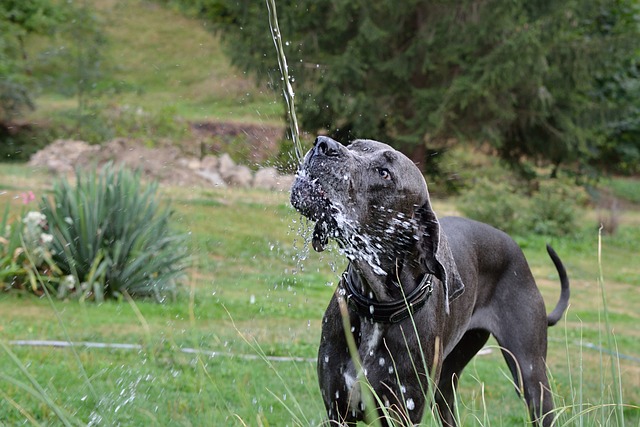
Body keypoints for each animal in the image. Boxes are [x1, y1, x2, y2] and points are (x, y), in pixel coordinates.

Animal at [290, 138, 568, 427]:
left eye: (384, 173)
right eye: (354, 144)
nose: (323, 144)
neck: (376, 307)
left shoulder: (404, 411)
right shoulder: (336, 409)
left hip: (532, 377)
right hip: (447, 383)